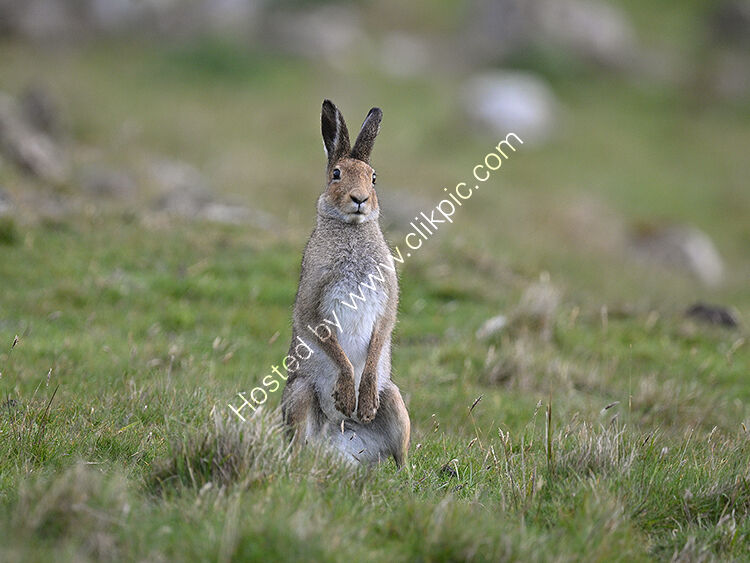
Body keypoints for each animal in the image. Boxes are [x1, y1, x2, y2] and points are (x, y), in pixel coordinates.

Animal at [281, 100, 410, 466]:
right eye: (336, 174)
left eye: (373, 178)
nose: (360, 199)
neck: (352, 229)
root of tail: (340, 440)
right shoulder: (313, 305)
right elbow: (332, 347)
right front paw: (346, 395)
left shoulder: (387, 303)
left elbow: (380, 338)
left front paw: (362, 402)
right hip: (299, 394)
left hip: (396, 402)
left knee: (400, 456)